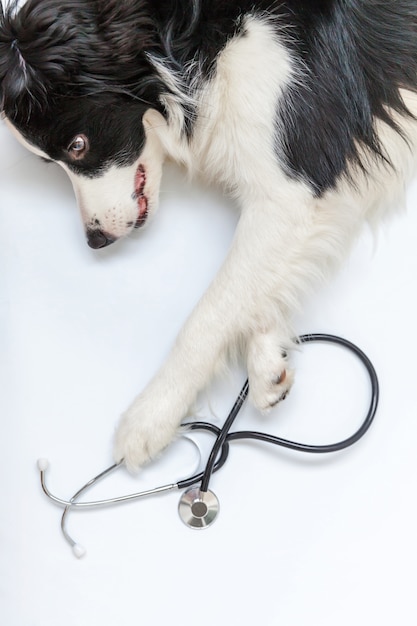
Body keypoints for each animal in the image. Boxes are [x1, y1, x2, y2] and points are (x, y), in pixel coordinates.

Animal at [0, 1, 416, 468]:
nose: (95, 241)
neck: (191, 32)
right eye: (52, 163)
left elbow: (209, 314)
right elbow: (257, 288)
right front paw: (267, 358)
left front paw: (150, 418)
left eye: (78, 145)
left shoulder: (292, 182)